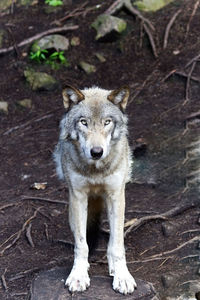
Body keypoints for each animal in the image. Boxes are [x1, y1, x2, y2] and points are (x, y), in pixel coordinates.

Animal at [54, 85, 137, 296]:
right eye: (84, 122)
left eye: (107, 122)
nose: (97, 152)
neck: (96, 170)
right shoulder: (78, 197)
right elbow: (81, 244)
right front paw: (78, 276)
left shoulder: (116, 196)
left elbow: (117, 246)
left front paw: (122, 277)